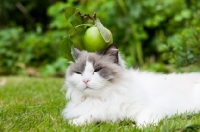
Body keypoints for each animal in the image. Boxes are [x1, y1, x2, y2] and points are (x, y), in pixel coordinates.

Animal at [61, 44, 200, 127]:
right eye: (79, 73)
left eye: (97, 70)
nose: (85, 80)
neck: (105, 96)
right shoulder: (99, 112)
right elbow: (88, 117)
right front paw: (74, 123)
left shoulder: (149, 109)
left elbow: (143, 122)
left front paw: (138, 127)